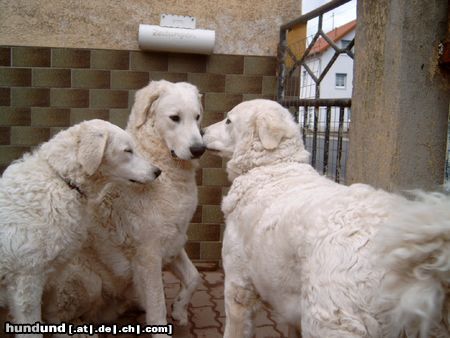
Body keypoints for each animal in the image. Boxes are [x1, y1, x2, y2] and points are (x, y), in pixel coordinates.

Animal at [0, 119, 161, 338]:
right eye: (128, 151)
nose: (157, 171)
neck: (63, 181)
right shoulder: (26, 282)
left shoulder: (55, 273)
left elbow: (54, 313)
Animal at [43, 80, 205, 336]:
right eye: (174, 118)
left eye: (197, 117)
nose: (199, 149)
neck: (166, 171)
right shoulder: (148, 254)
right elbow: (158, 307)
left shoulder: (174, 240)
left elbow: (194, 277)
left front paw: (180, 310)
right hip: (87, 282)